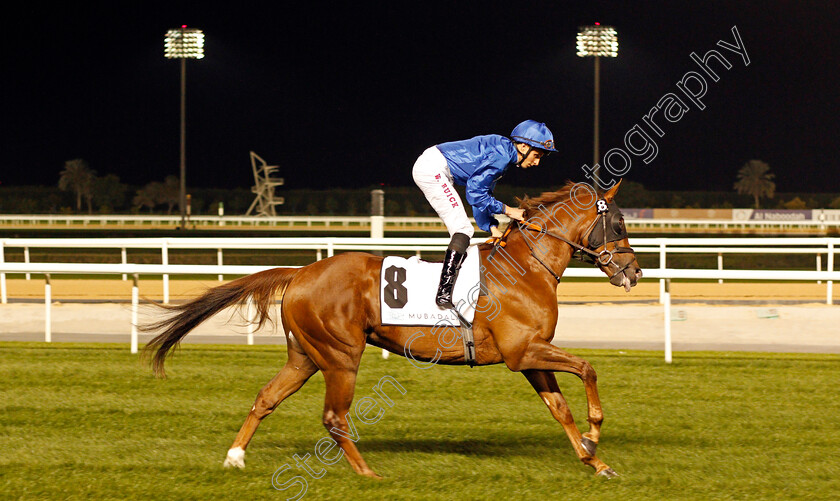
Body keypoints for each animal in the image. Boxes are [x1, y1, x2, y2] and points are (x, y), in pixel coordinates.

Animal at [144, 180, 644, 476]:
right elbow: (588, 369)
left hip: (305, 355)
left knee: (266, 397)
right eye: (619, 222)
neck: (527, 267)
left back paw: (236, 456)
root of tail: (301, 271)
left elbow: (560, 408)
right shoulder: (524, 351)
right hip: (341, 355)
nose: (634, 272)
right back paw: (366, 473)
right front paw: (595, 434)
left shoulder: (530, 353)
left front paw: (593, 459)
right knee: (334, 416)